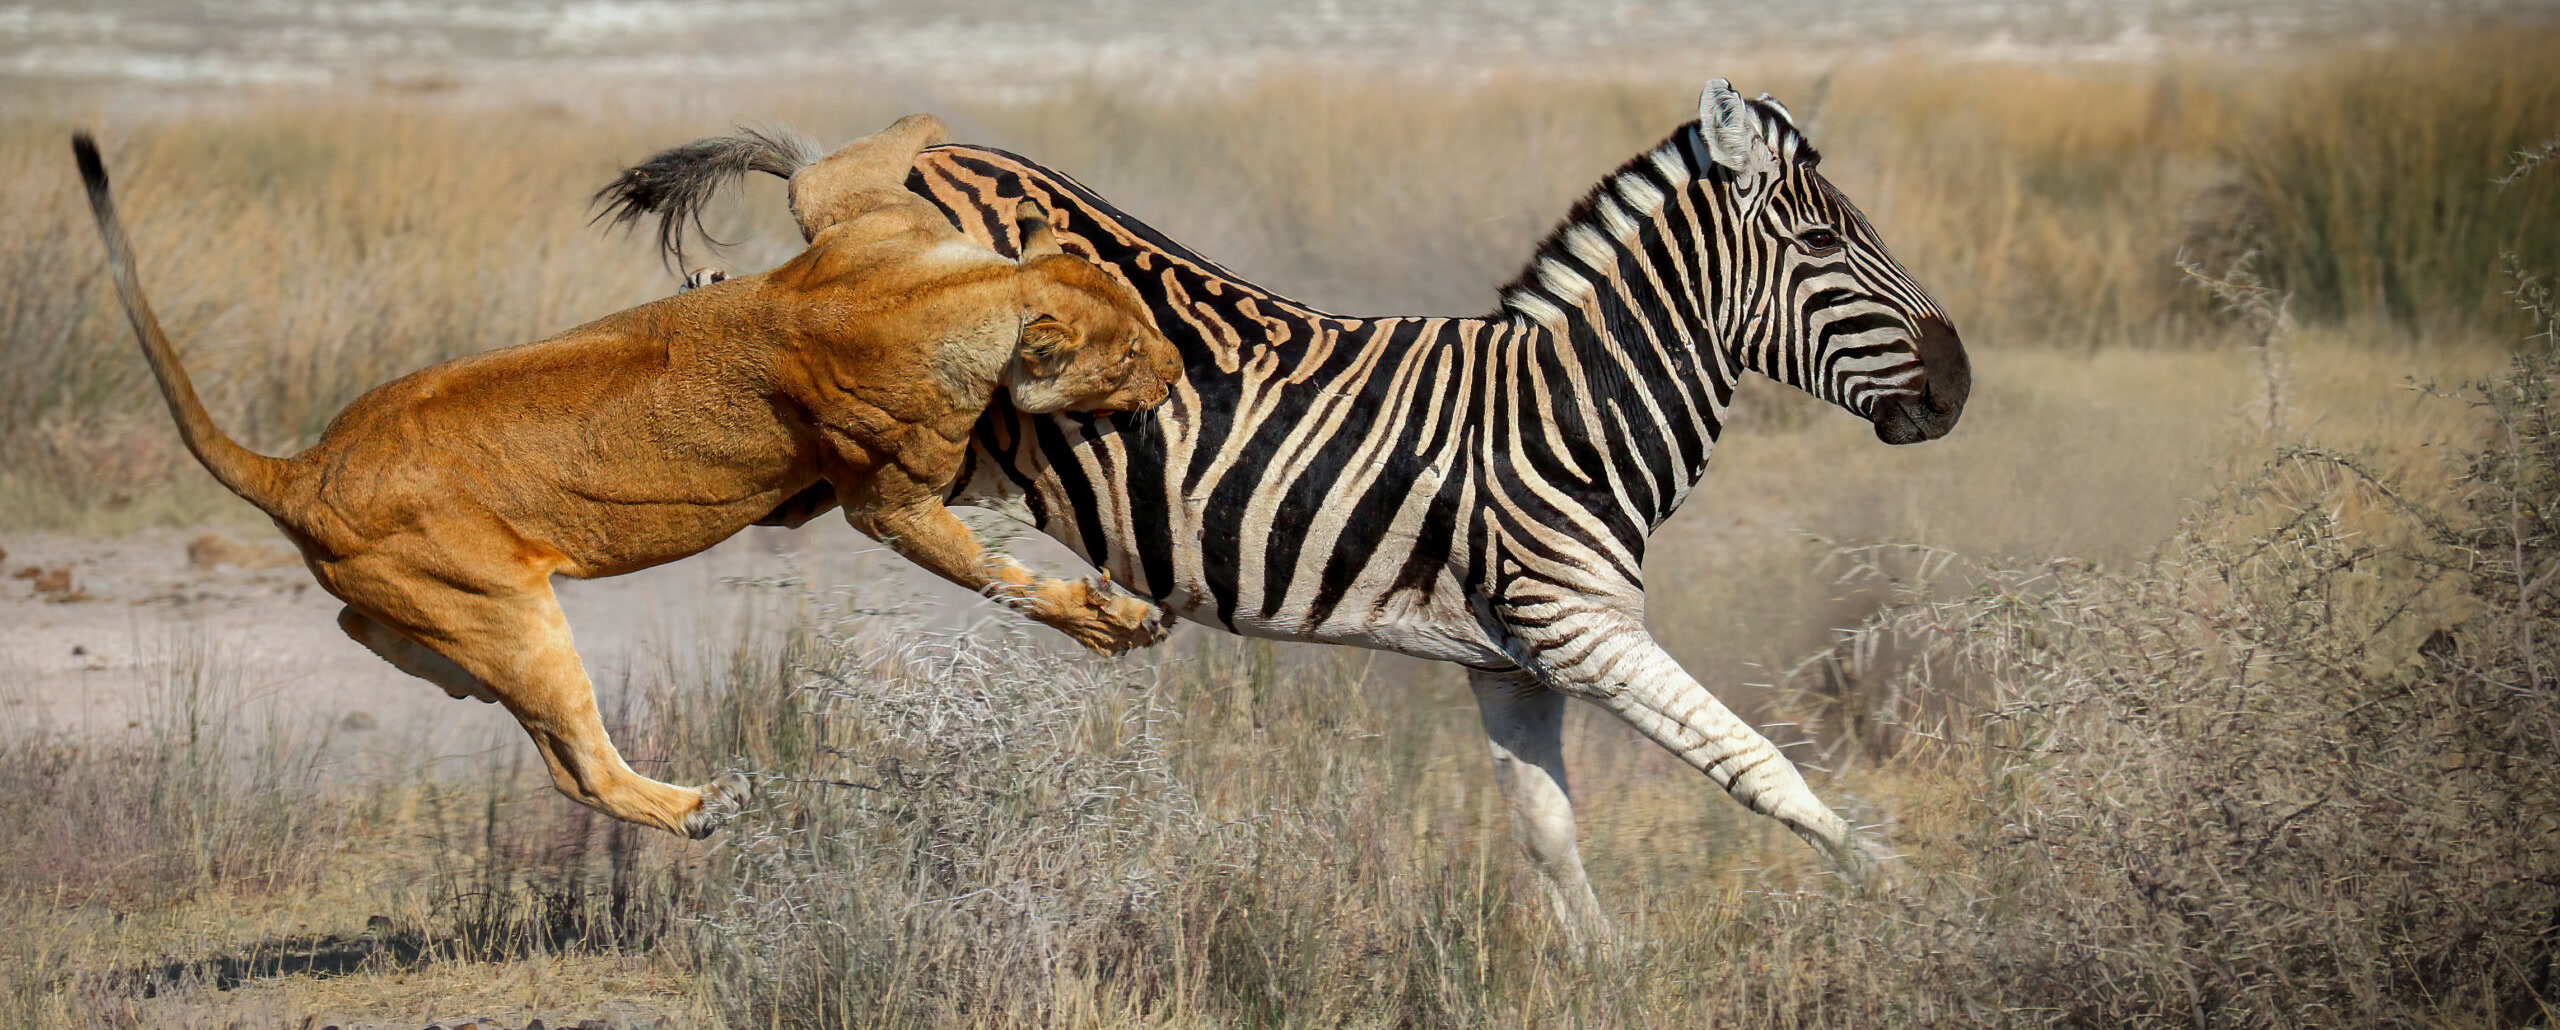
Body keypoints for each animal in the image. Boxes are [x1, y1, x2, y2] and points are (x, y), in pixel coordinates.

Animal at [71, 114, 1184, 838]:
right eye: (1131, 353)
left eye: (1145, 322)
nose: (1177, 372)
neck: (964, 296)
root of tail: (299, 470)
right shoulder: (890, 503)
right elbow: (1001, 579)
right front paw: (1113, 622)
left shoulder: (857, 216)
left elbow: (864, 146)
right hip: (510, 614)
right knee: (581, 772)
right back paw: (700, 807)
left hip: (458, 611)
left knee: (369, 631)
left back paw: (449, 677)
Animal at [595, 78, 1970, 943]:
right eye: (1824, 246)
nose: (1955, 387)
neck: (1568, 405)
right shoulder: (1580, 627)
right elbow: (1756, 764)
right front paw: (1907, 890)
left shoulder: (1511, 660)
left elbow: (1547, 833)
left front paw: (1608, 975)